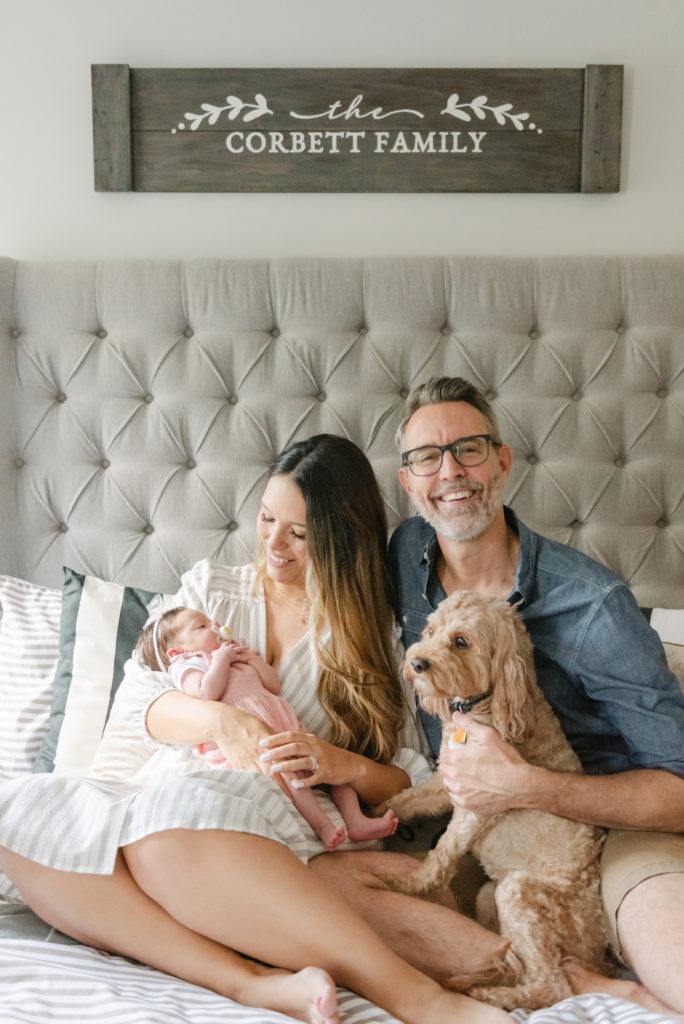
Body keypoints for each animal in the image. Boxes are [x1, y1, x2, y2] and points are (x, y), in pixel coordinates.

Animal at [378, 593, 610, 1007]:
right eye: (430, 630)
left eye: (461, 641)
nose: (416, 662)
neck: (487, 705)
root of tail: (597, 955)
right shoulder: (445, 782)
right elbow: (406, 799)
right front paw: (369, 813)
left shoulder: (477, 803)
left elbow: (441, 856)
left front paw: (405, 884)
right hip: (491, 896)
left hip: (516, 893)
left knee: (552, 988)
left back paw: (488, 994)